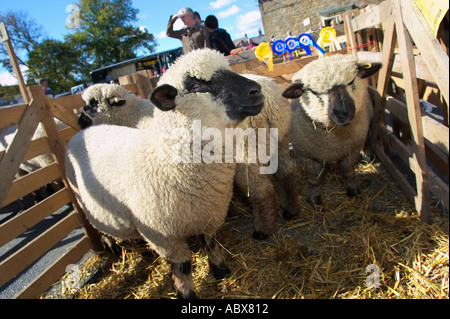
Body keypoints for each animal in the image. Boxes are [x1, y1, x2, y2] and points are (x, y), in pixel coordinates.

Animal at [65, 48, 266, 300]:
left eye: (93, 104)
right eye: (197, 86)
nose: (256, 90)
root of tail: (82, 133)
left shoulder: (211, 214)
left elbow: (212, 244)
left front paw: (221, 271)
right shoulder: (164, 238)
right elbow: (183, 267)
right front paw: (186, 294)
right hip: (83, 200)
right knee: (101, 228)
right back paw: (112, 246)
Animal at [232, 74, 302, 240]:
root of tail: (269, 100)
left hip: (245, 152)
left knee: (262, 190)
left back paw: (263, 231)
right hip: (281, 140)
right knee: (287, 172)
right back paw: (291, 210)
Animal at [284, 54, 382, 205]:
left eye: (351, 82)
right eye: (314, 92)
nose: (344, 113)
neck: (333, 140)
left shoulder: (351, 150)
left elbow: (347, 171)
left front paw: (353, 189)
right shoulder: (307, 155)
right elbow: (314, 177)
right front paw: (313, 197)